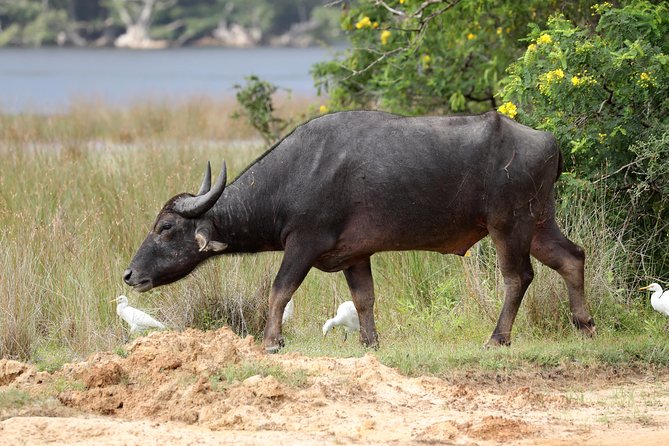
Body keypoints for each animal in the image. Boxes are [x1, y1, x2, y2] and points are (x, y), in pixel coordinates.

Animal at [122, 110, 592, 350]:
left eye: (165, 227)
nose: (129, 274)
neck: (293, 176)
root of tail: (548, 142)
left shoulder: (303, 244)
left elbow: (279, 290)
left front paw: (271, 341)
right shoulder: (355, 255)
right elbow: (364, 299)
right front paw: (369, 342)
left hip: (508, 225)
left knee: (518, 277)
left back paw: (498, 338)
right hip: (539, 223)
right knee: (573, 257)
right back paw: (584, 324)